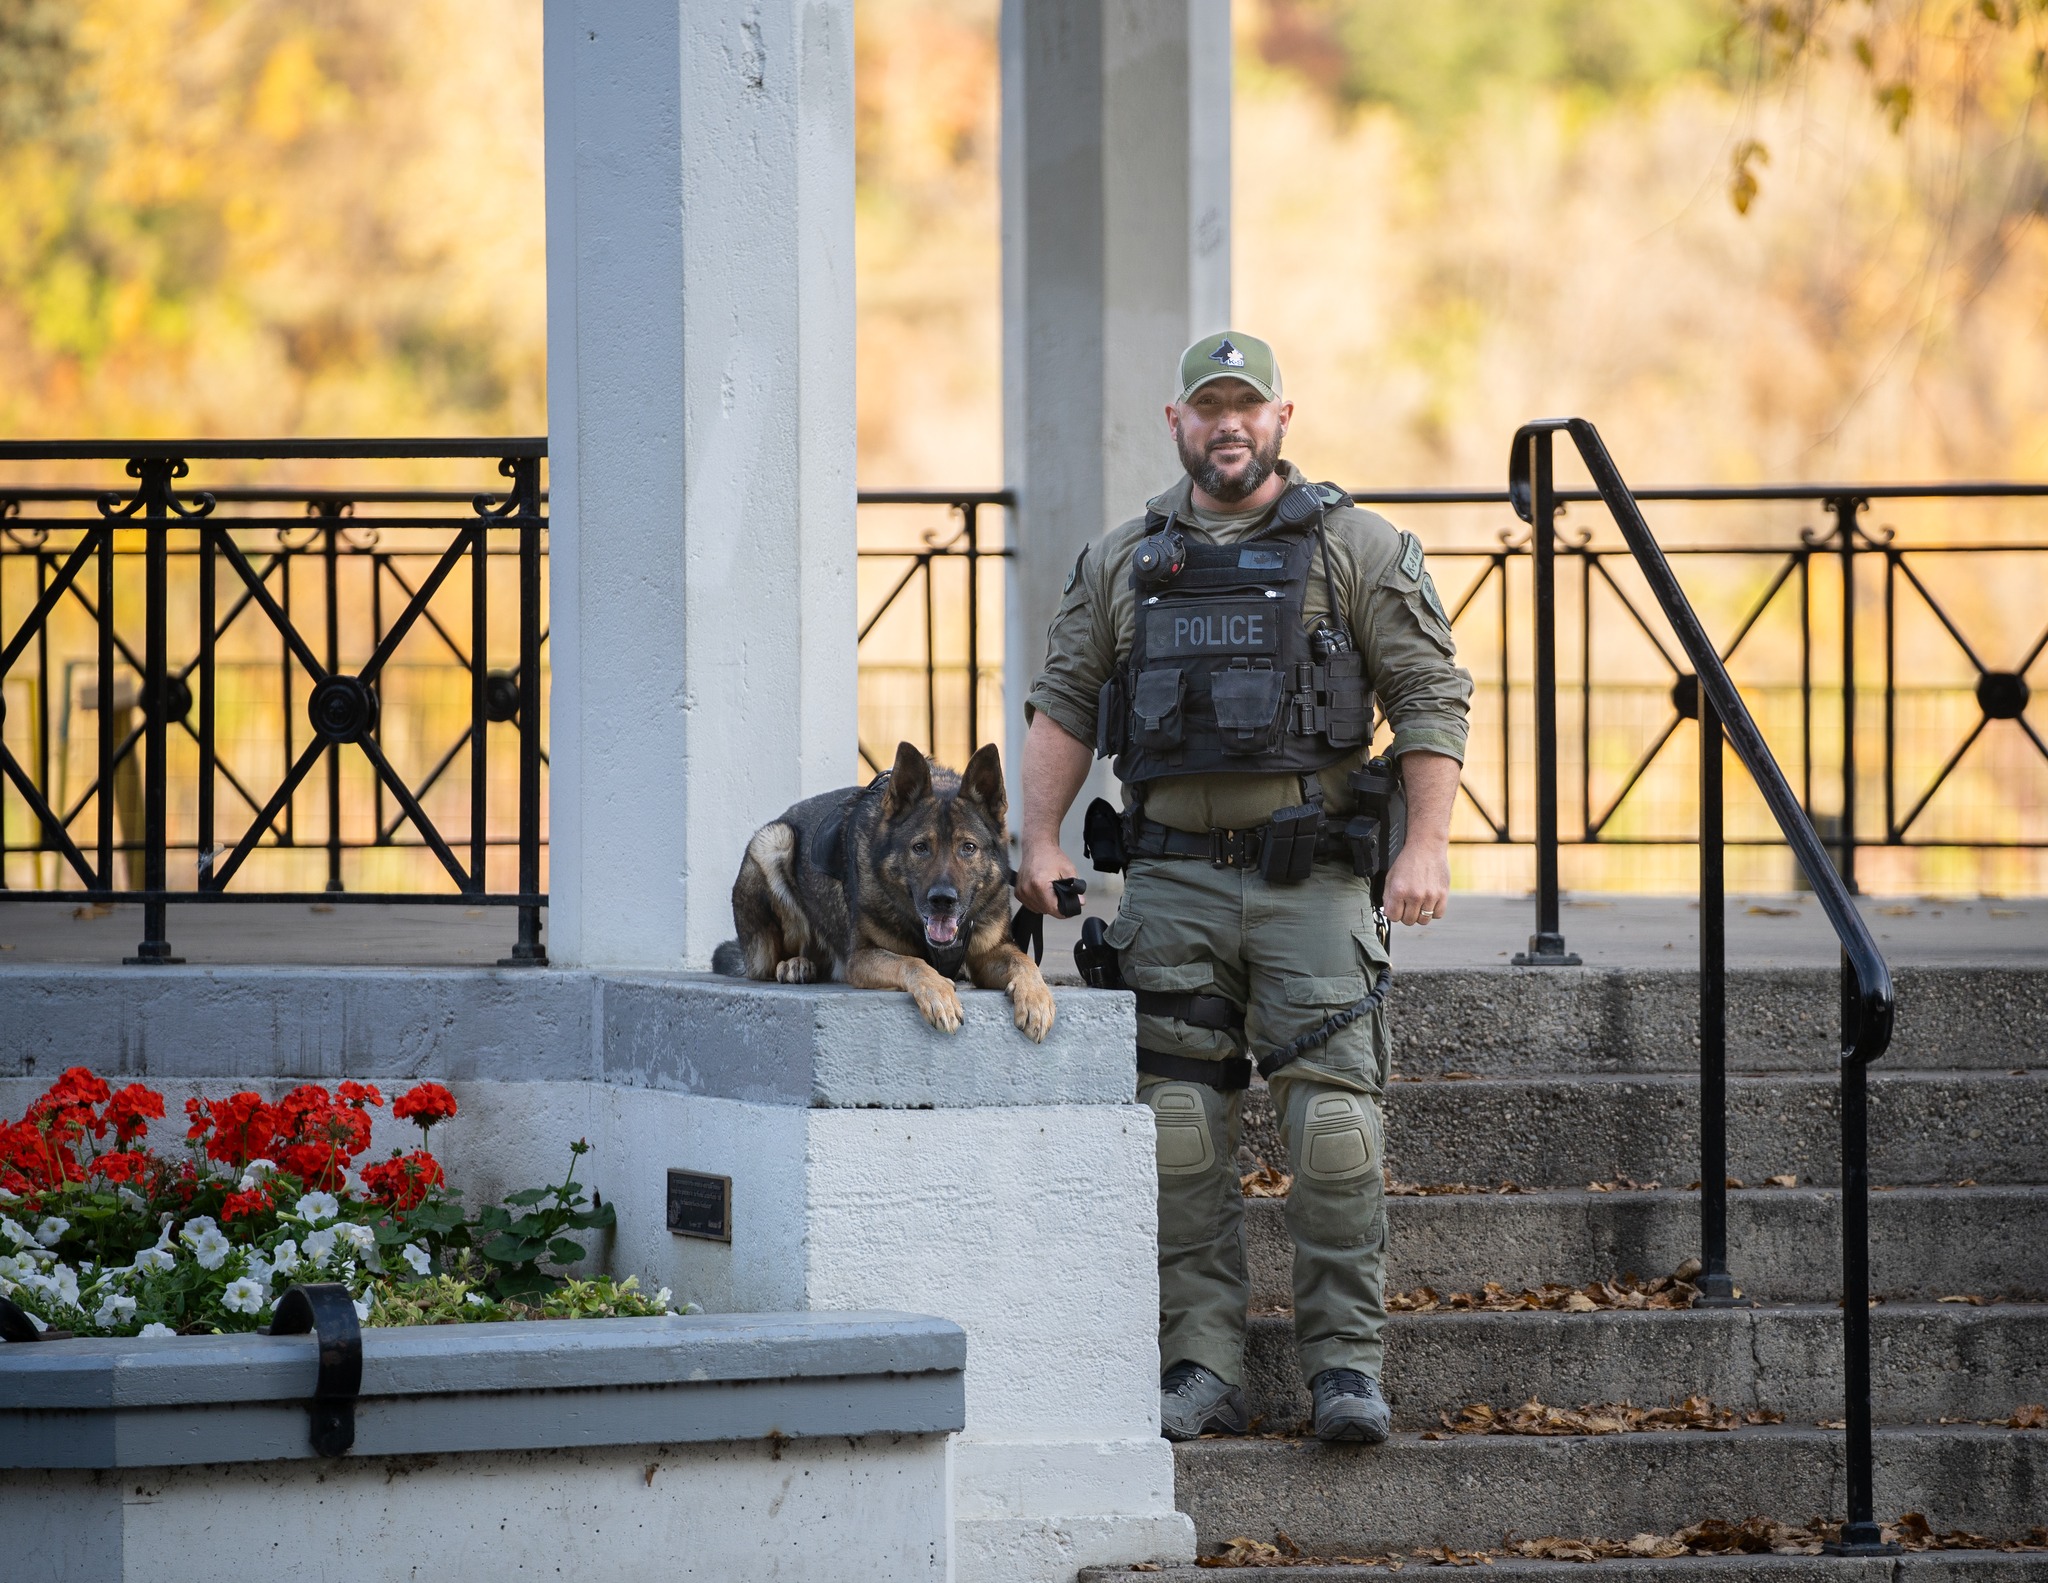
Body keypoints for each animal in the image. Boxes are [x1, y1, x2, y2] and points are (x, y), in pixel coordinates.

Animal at [712, 741, 1056, 1036]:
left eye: (968, 848)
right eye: (920, 848)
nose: (942, 900)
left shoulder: (988, 956)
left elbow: (1024, 962)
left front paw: (1036, 998)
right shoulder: (862, 959)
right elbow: (912, 962)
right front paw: (938, 993)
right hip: (773, 842)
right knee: (768, 964)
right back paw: (794, 964)